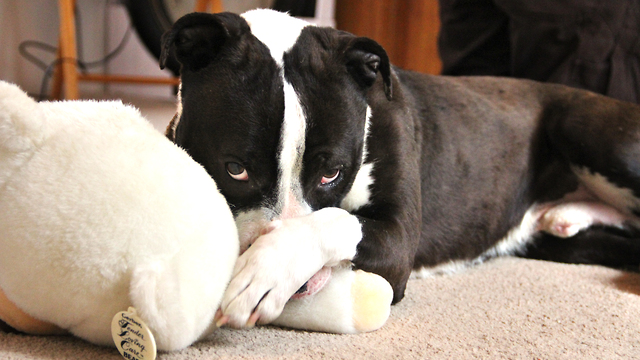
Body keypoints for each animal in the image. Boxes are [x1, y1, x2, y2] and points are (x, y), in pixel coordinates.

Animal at [160, 9, 640, 330]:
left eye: (332, 173)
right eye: (235, 169)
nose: (298, 289)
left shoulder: (398, 237)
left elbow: (334, 219)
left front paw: (265, 274)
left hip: (586, 128)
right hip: (566, 244)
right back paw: (568, 215)